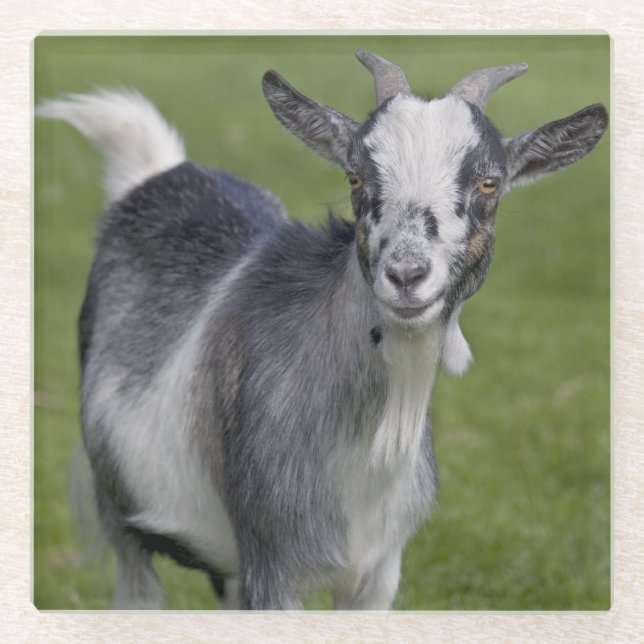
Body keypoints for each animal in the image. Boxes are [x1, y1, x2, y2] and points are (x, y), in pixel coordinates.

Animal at [38, 50, 608, 610]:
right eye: (355, 177)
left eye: (489, 183)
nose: (406, 275)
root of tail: (156, 174)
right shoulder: (271, 564)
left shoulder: (378, 573)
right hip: (121, 514)